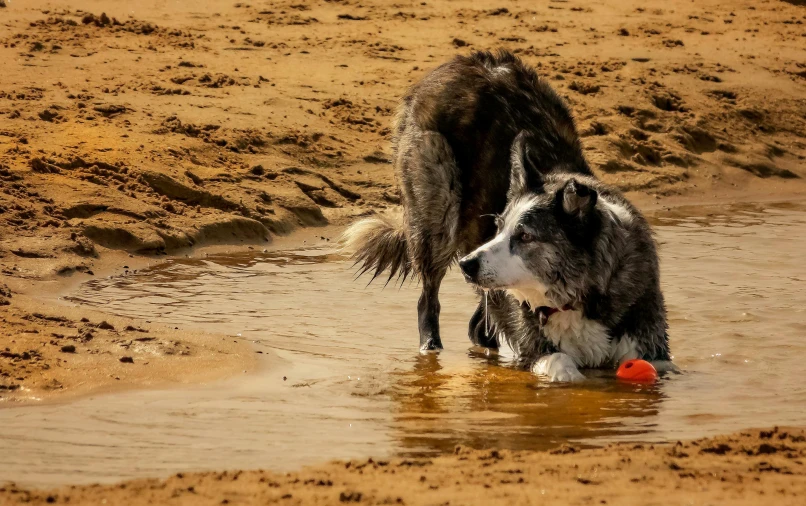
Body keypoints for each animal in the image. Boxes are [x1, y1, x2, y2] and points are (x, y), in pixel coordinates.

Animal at [342, 50, 676, 380]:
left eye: (525, 236)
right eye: (498, 227)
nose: (466, 265)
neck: (575, 297)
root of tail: (457, 64)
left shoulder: (653, 351)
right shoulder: (537, 348)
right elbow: (562, 366)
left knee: (478, 326)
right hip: (437, 215)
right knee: (428, 301)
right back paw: (431, 350)